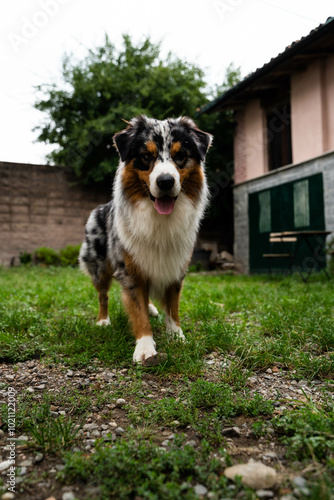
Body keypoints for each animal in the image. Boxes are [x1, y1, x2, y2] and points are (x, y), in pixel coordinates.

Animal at [79, 116, 211, 364]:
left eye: (180, 155)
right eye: (146, 156)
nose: (165, 181)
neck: (159, 218)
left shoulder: (175, 268)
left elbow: (173, 308)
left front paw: (176, 336)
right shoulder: (130, 270)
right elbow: (137, 310)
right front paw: (145, 347)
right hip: (99, 266)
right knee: (103, 294)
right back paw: (103, 321)